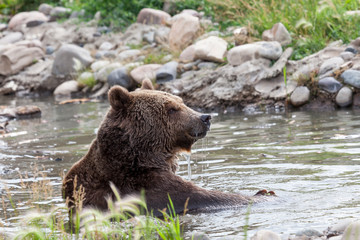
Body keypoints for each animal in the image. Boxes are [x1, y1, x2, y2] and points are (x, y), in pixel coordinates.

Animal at [62, 79, 270, 217]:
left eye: (182, 101)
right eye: (171, 108)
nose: (205, 117)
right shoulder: (146, 185)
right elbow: (204, 196)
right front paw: (262, 194)